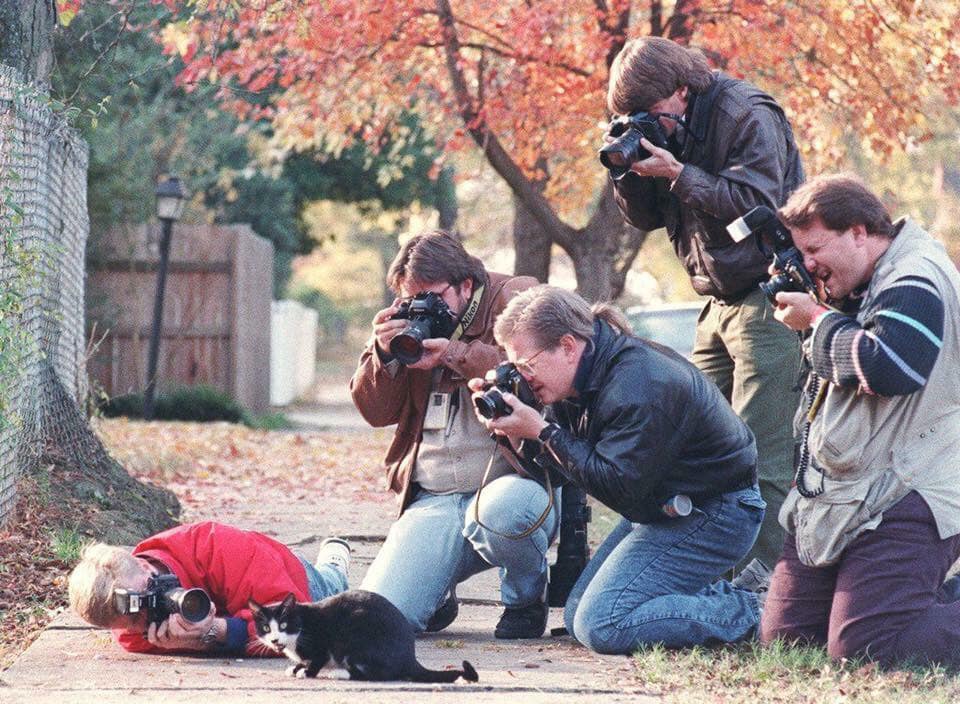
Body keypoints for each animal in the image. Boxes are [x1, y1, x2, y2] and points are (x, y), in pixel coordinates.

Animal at [249, 588, 478, 680]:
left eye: (284, 624)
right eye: (266, 628)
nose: (275, 640)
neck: (301, 627)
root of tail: (410, 657)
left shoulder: (320, 642)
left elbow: (317, 658)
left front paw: (306, 672)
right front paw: (296, 667)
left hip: (355, 637)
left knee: (380, 675)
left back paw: (340, 673)